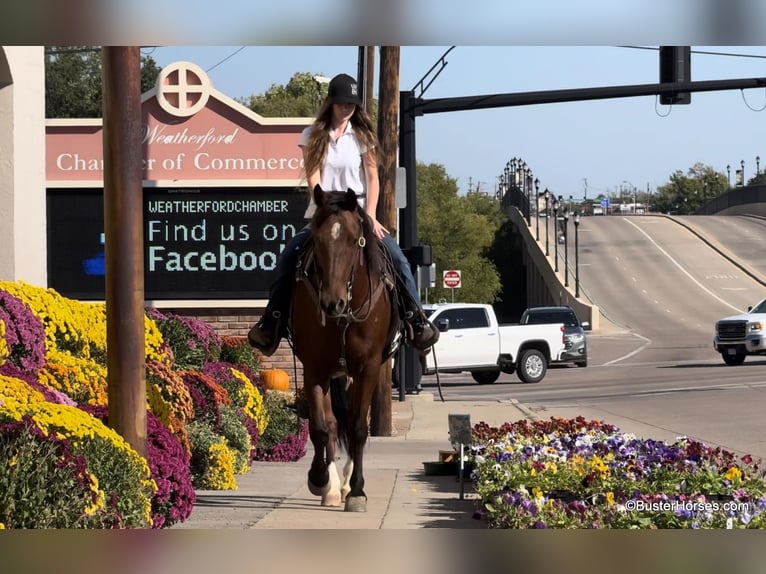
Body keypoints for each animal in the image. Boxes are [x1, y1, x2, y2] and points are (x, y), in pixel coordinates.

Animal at [292, 184, 400, 512]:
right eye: (317, 239)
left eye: (355, 241)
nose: (332, 303)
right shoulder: (314, 368)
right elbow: (321, 427)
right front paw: (320, 480)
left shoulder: (368, 367)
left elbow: (358, 427)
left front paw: (357, 490)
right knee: (332, 422)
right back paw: (332, 486)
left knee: (352, 421)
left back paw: (349, 480)